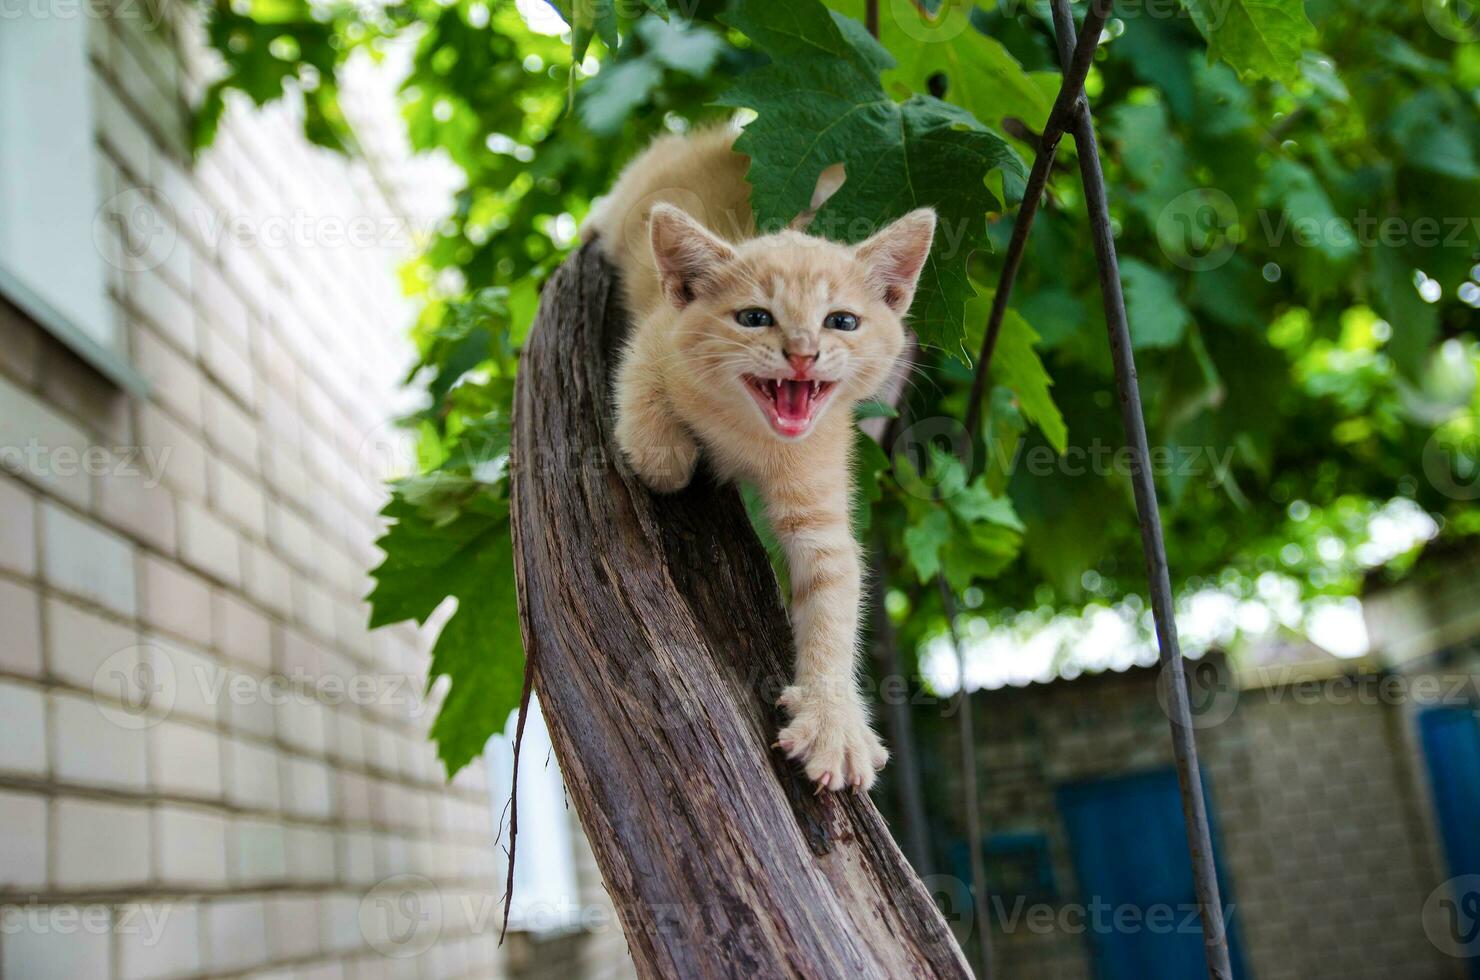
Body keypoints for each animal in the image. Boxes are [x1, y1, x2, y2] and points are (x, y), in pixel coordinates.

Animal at [583, 126, 929, 793]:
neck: (750, 435)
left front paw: (833, 719)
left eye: (842, 320)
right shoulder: (657, 335)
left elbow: (834, 593)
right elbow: (642, 391)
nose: (802, 353)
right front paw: (666, 452)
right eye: (754, 317)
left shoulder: (820, 496)